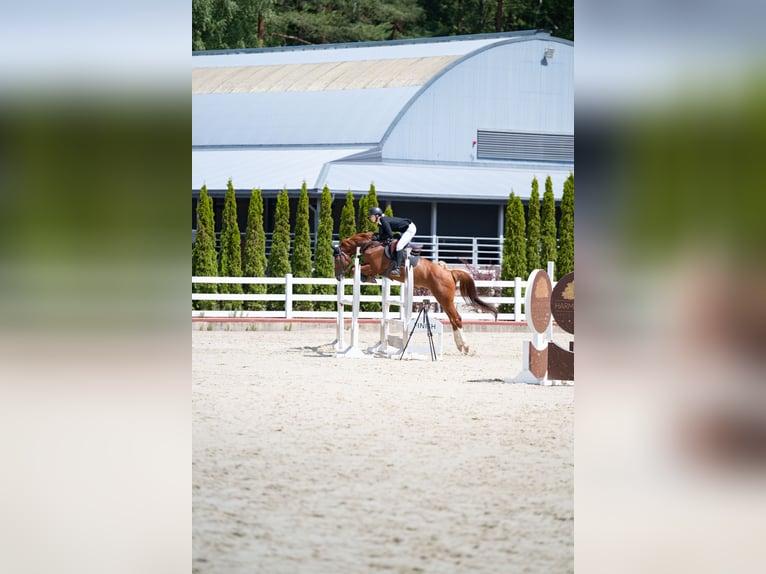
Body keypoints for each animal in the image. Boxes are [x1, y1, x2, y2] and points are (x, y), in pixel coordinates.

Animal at [333, 232, 497, 354]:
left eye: (336, 259)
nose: (338, 276)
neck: (372, 245)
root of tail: (449, 272)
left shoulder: (374, 267)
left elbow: (355, 269)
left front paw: (366, 277)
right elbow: (358, 269)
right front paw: (367, 278)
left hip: (444, 298)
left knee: (456, 318)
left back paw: (466, 347)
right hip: (442, 299)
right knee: (453, 319)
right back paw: (460, 346)